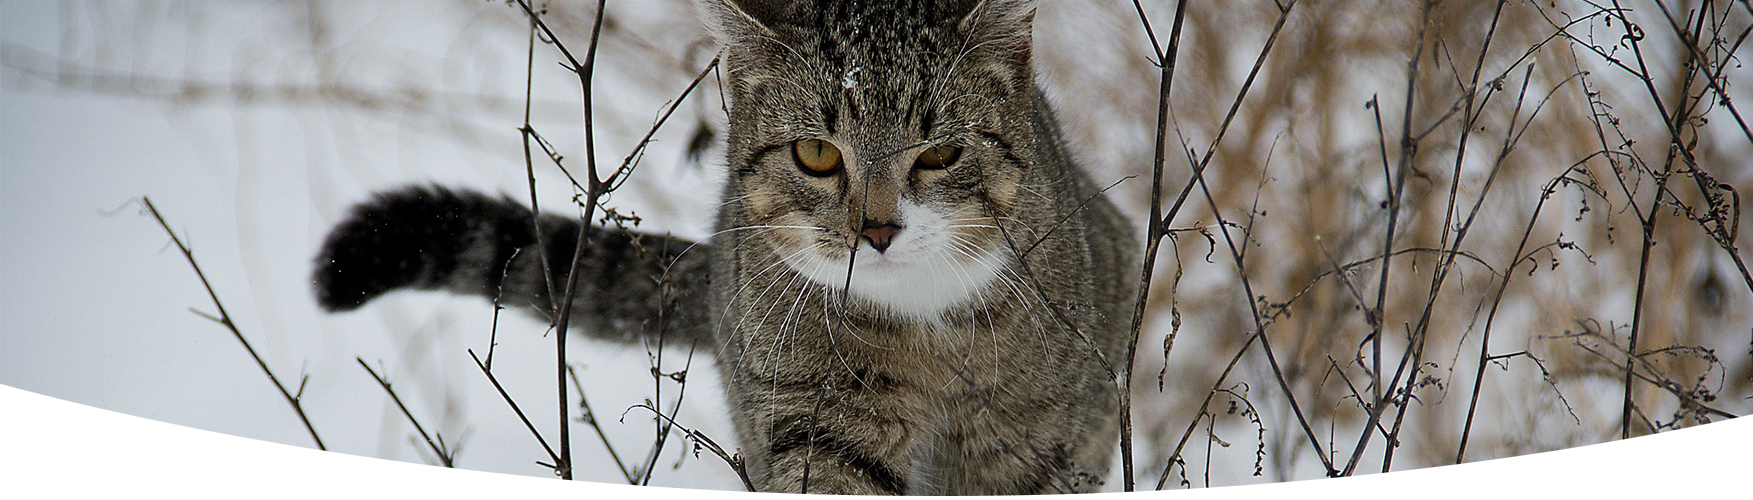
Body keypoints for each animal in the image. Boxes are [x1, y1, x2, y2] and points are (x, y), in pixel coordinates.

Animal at [312, 0, 1135, 491]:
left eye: (940, 154)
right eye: (815, 153)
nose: (876, 231)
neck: (920, 327)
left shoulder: (1037, 443)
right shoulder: (813, 417)